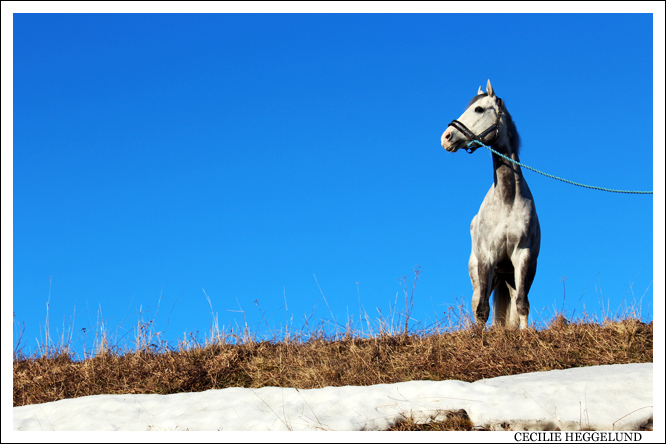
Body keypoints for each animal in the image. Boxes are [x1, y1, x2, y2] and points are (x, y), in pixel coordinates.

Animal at [438, 80, 536, 330]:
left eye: (479, 109)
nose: (446, 137)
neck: (507, 200)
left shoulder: (523, 257)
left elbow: (522, 304)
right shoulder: (487, 258)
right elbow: (481, 309)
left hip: (511, 277)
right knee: (477, 303)